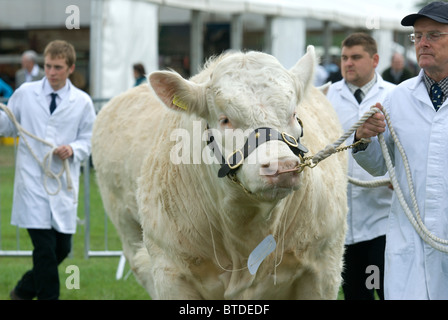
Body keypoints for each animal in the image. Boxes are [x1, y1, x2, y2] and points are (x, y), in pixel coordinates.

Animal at [91, 45, 348, 300]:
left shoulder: (324, 269)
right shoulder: (170, 273)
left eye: (294, 114)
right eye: (225, 119)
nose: (282, 166)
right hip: (128, 230)